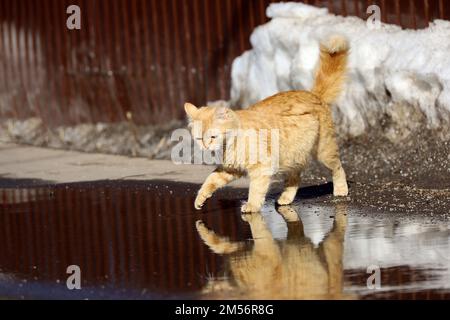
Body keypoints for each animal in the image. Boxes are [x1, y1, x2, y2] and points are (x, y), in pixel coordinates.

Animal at [185, 35, 350, 212]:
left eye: (213, 137)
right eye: (199, 139)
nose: (205, 147)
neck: (230, 144)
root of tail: (313, 94)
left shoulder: (261, 168)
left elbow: (255, 190)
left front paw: (251, 206)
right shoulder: (230, 168)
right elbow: (210, 180)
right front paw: (200, 199)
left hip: (323, 152)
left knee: (338, 167)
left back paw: (341, 190)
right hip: (292, 155)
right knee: (295, 178)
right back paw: (285, 198)